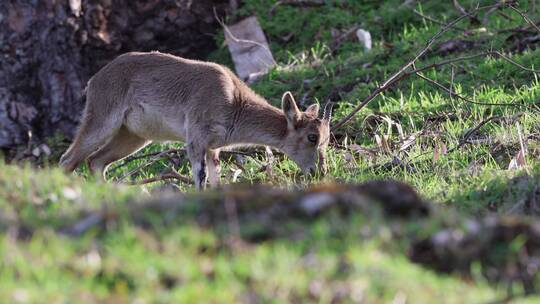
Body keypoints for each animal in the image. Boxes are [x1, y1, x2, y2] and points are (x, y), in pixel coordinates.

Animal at [57, 52, 332, 190]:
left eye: (327, 140)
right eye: (312, 137)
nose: (320, 171)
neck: (233, 102)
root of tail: (94, 81)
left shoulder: (213, 148)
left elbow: (215, 177)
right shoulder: (196, 138)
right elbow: (200, 177)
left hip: (133, 136)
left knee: (96, 161)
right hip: (102, 118)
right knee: (68, 159)